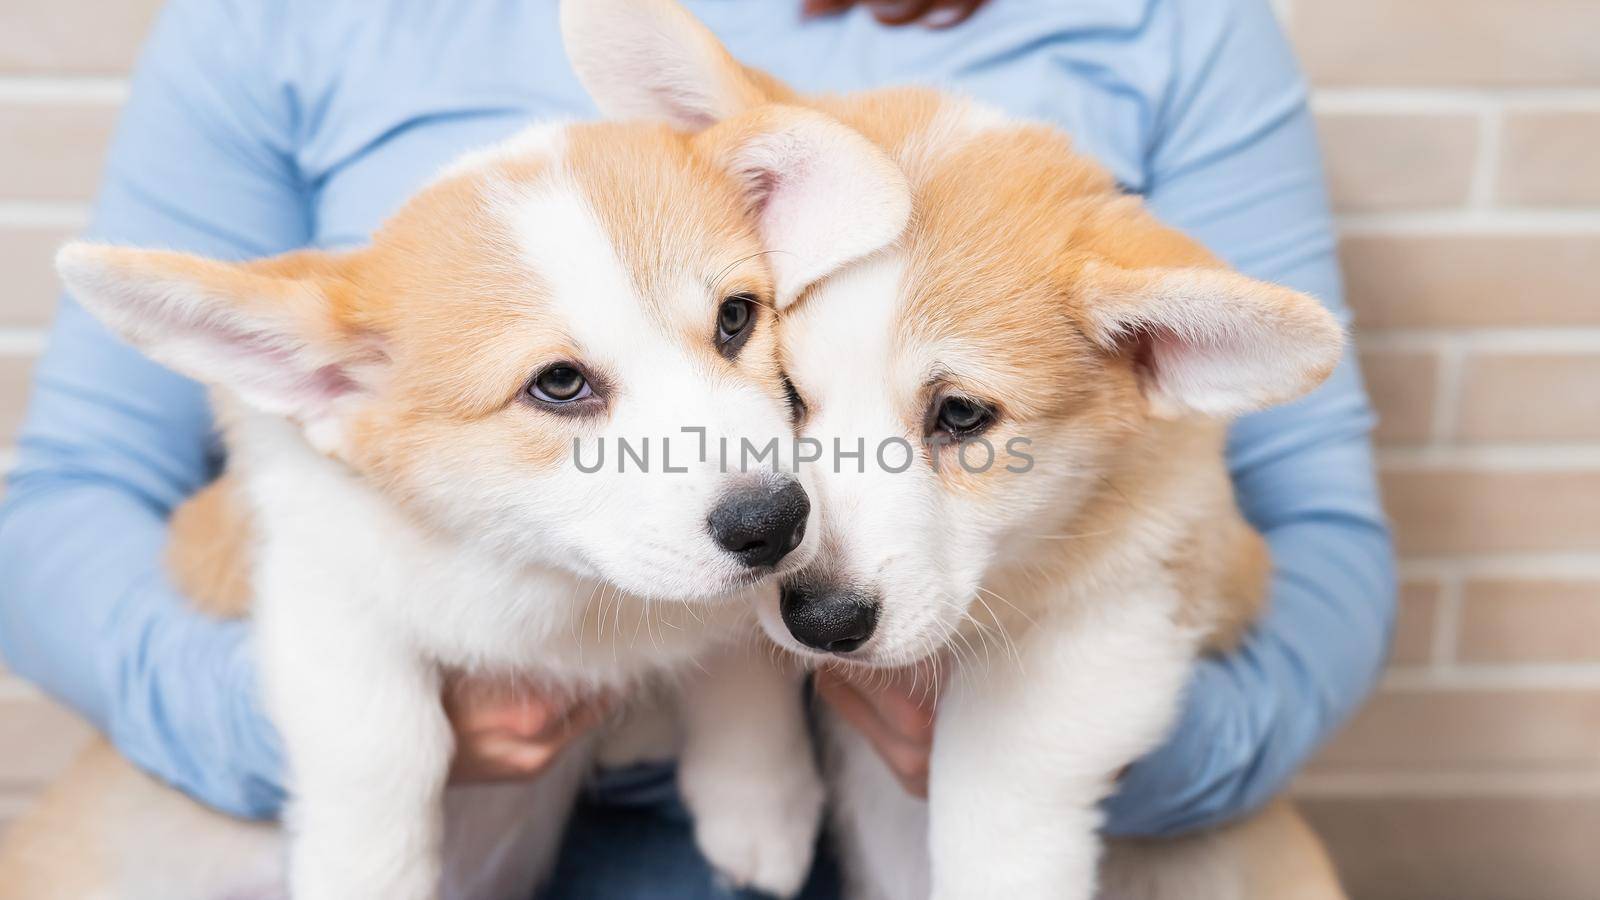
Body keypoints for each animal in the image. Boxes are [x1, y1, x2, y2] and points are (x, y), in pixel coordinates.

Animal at [0, 49, 915, 900]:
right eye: (558, 384)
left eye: (736, 318)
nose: (776, 523)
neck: (563, 588)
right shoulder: (318, 586)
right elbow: (388, 742)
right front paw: (372, 874)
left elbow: (737, 652)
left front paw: (759, 798)